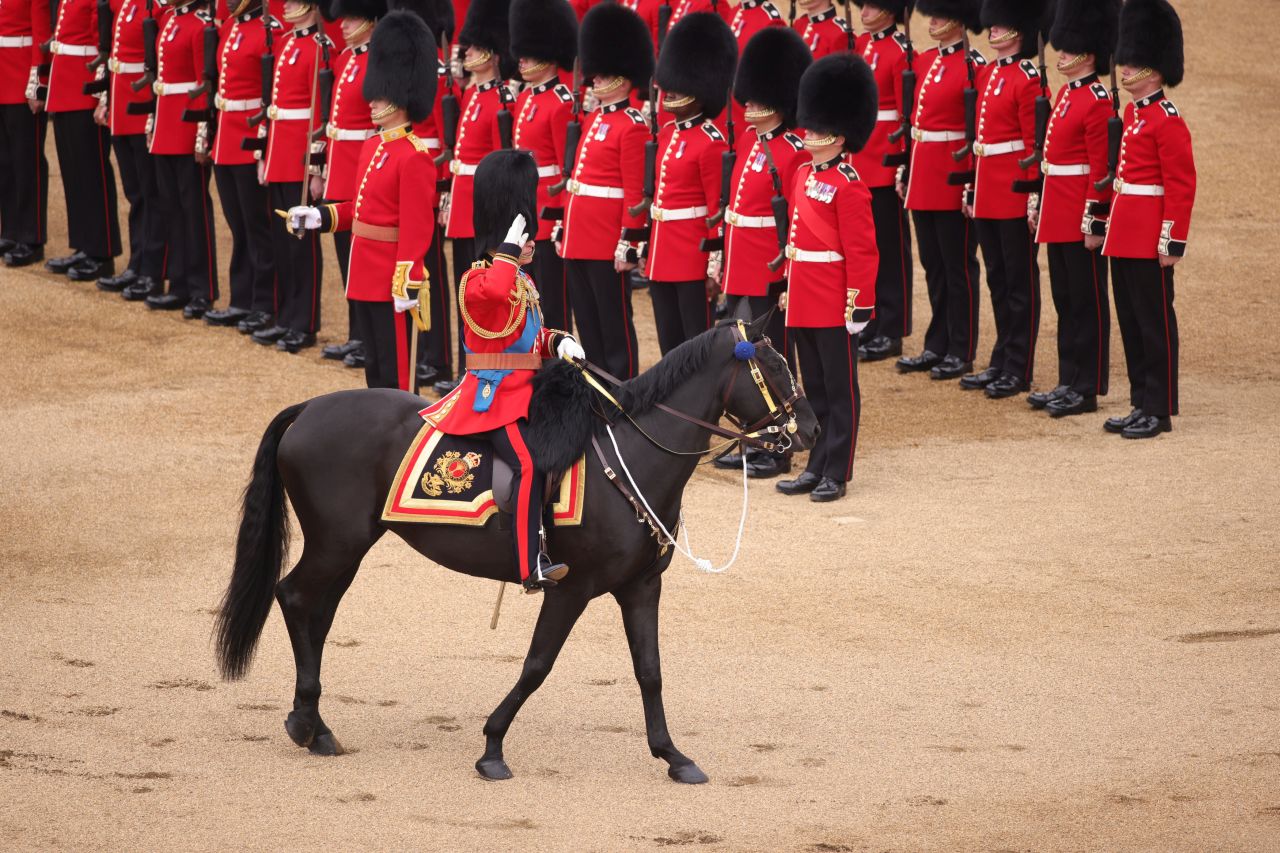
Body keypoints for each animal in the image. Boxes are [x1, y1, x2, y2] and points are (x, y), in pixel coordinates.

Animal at [216, 315, 819, 778]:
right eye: (774, 365)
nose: (810, 430)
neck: (632, 456)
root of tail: (309, 406)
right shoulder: (570, 587)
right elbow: (537, 665)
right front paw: (492, 747)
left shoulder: (641, 586)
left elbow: (650, 669)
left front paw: (673, 755)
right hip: (337, 543)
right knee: (295, 598)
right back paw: (307, 725)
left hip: (348, 546)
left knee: (316, 613)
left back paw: (313, 723)